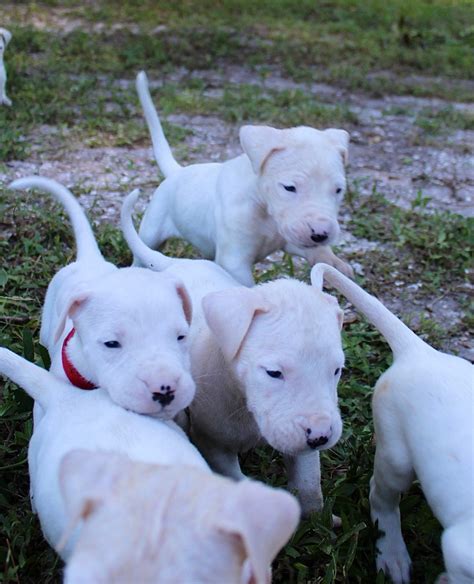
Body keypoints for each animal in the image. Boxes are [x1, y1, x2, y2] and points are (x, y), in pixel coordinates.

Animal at [122, 188, 344, 516]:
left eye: (337, 371)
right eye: (274, 373)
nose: (320, 436)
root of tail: (173, 263)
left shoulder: (301, 449)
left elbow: (308, 486)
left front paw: (318, 519)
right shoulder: (214, 444)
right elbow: (236, 481)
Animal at [133, 70, 352, 286]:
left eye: (338, 190)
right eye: (289, 187)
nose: (320, 234)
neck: (264, 210)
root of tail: (177, 172)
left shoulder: (289, 238)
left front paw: (335, 265)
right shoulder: (235, 261)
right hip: (151, 229)